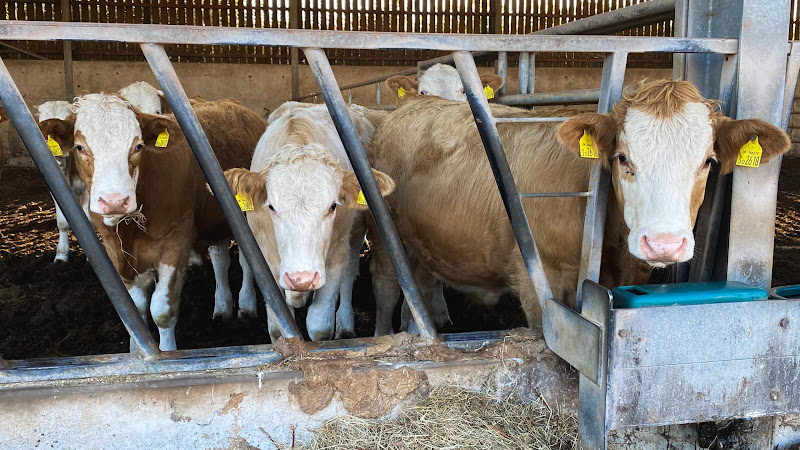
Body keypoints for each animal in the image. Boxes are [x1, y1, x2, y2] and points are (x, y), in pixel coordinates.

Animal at [40, 94, 267, 351]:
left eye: (138, 146)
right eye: (80, 147)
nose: (114, 201)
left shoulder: (176, 242)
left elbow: (162, 311)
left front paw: (167, 353)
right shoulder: (114, 249)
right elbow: (136, 308)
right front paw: (138, 350)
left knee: (248, 262)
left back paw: (246, 306)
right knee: (220, 260)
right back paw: (222, 307)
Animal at [224, 102, 394, 342]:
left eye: (332, 206)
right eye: (271, 207)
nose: (301, 279)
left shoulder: (335, 257)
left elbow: (320, 326)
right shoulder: (267, 258)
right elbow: (278, 330)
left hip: (355, 232)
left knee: (349, 273)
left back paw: (345, 323)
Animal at [368, 79, 790, 334]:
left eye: (707, 162)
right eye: (622, 158)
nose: (664, 244)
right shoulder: (541, 280)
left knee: (421, 285)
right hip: (385, 233)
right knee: (387, 287)